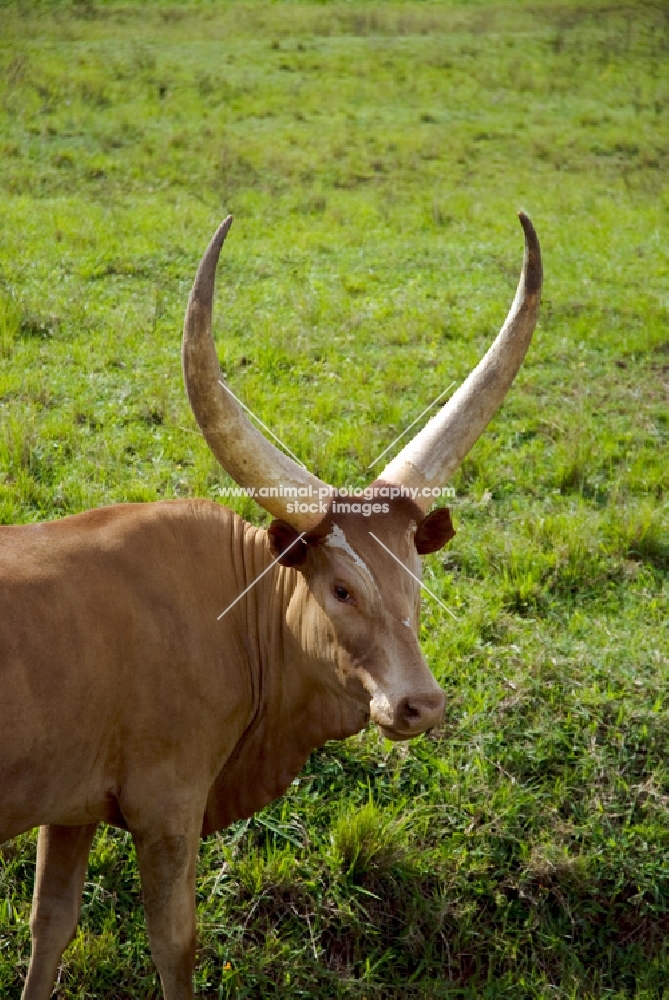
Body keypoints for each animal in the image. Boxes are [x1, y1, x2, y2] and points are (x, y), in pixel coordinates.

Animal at [1, 209, 544, 992]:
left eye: (416, 579)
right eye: (340, 589)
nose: (421, 705)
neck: (233, 613)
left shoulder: (69, 805)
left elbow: (51, 924)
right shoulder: (167, 808)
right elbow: (175, 942)